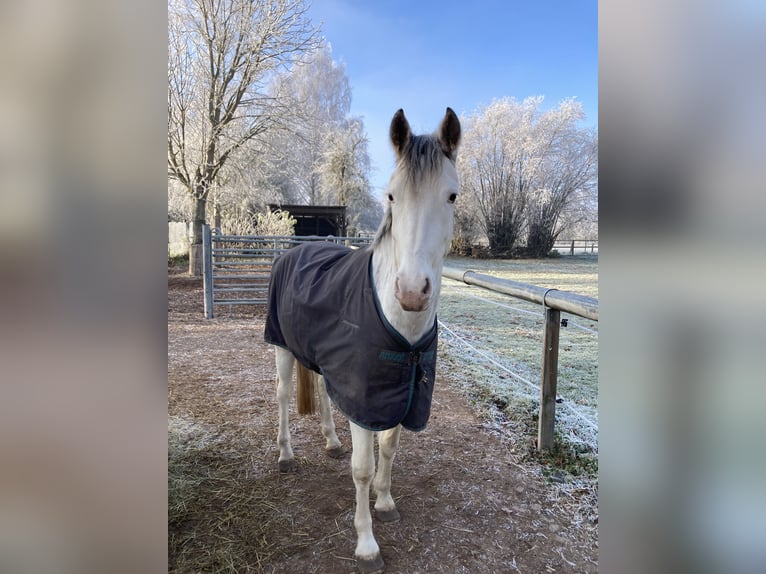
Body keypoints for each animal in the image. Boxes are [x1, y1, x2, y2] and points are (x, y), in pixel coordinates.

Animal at [264, 107, 462, 572]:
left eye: (451, 196)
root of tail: (298, 246)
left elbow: (388, 448)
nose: (412, 291)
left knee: (321, 390)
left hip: (318, 357)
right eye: (391, 196)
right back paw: (286, 456)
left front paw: (386, 502)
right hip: (281, 347)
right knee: (282, 395)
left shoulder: (399, 394)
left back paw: (331, 442)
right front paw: (366, 543)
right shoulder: (365, 400)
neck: (404, 334)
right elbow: (363, 468)